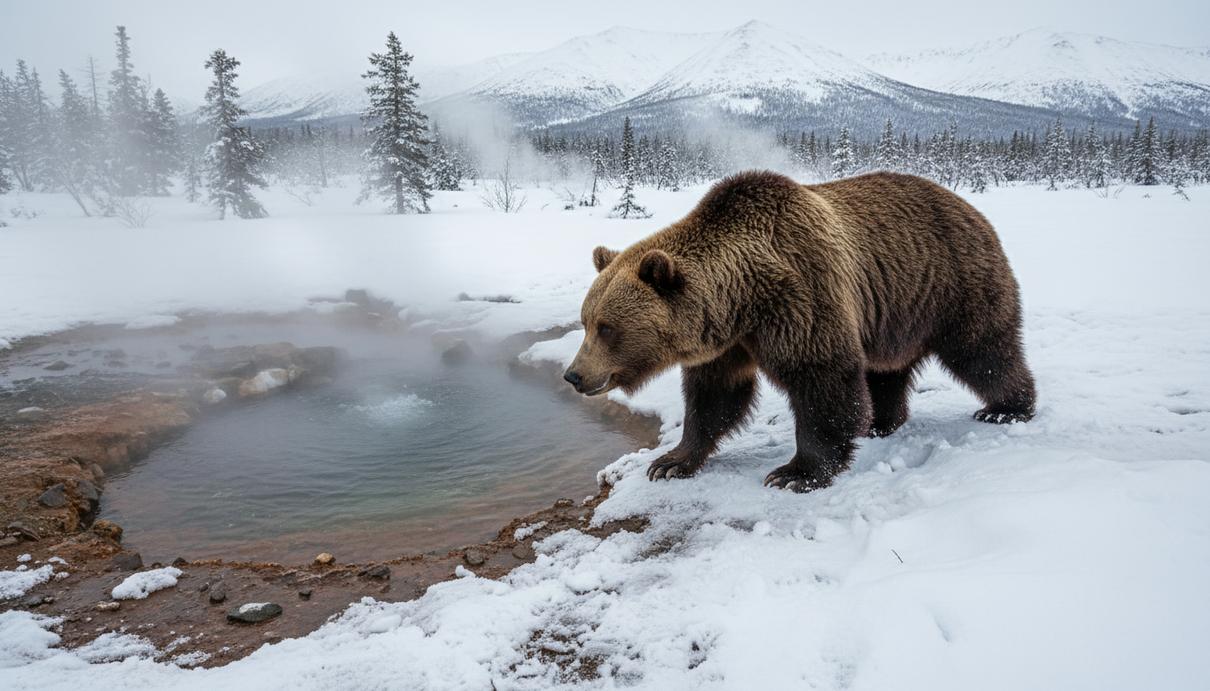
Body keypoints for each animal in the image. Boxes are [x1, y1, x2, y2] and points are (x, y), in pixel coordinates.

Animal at [562, 170, 1036, 492]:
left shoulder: (802, 297)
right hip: (893, 315)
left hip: (950, 282)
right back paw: (880, 422)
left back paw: (1005, 407)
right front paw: (670, 462)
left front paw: (795, 473)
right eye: (585, 321)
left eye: (607, 328)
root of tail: (969, 205)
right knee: (886, 371)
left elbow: (821, 380)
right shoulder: (728, 343)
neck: (744, 298)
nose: (573, 374)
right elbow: (714, 398)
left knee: (984, 349)